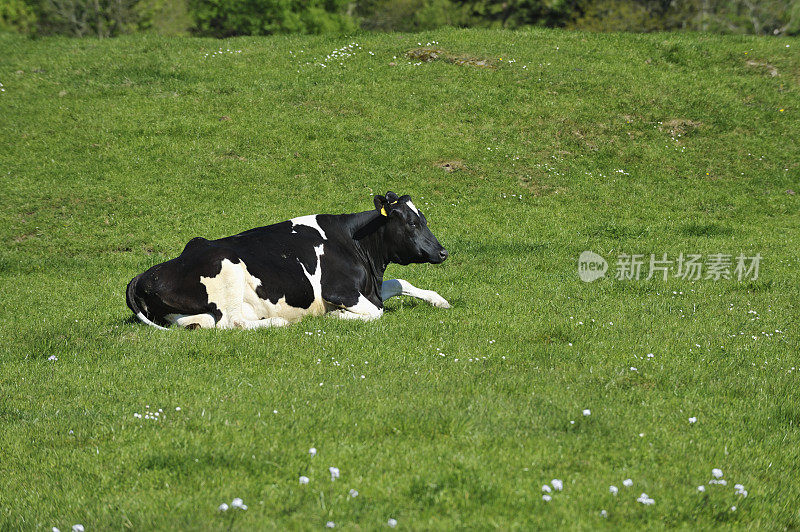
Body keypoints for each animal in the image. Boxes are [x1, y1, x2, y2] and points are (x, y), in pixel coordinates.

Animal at [125, 191, 450, 328]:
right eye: (412, 223)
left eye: (423, 219)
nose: (443, 252)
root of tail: (143, 276)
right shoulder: (340, 290)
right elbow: (376, 312)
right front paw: (333, 317)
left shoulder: (371, 286)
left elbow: (400, 282)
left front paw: (439, 300)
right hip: (226, 265)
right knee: (233, 322)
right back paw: (279, 321)